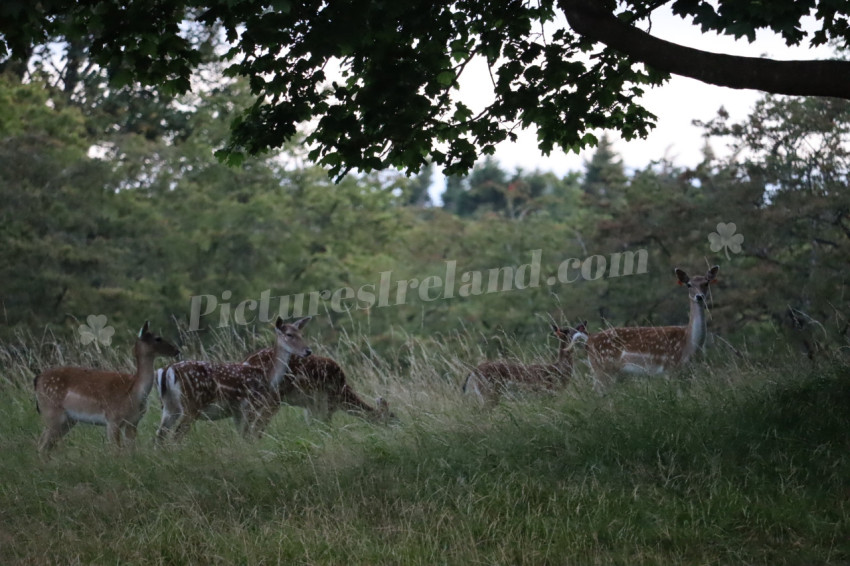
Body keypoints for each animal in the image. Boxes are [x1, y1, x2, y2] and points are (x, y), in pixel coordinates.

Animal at [33, 321, 180, 453]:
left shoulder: (133, 422)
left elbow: (131, 451)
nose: (176, 350)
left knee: (47, 445)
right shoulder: (112, 419)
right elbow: (116, 451)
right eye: (158, 338)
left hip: (68, 420)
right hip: (51, 412)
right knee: (41, 444)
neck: (134, 393)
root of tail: (37, 379)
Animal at [155, 316, 311, 442]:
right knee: (175, 437)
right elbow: (247, 436)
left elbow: (241, 436)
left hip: (169, 407)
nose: (308, 351)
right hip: (192, 404)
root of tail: (167, 370)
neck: (267, 376)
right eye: (289, 334)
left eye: (302, 334)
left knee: (159, 436)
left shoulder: (237, 412)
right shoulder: (249, 406)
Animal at [584, 265, 719, 388]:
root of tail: (589, 340)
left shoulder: (687, 371)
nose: (699, 296)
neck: (689, 344)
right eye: (689, 284)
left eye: (706, 283)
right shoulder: (670, 367)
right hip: (603, 369)